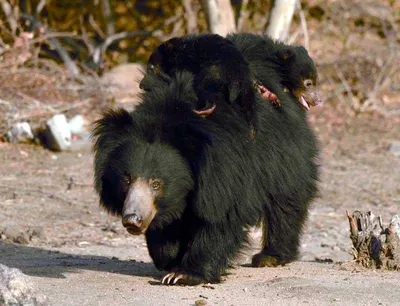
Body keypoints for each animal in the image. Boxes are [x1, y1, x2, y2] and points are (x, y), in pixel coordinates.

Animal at [93, 71, 318, 284]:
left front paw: (183, 275)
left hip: (283, 156)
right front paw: (171, 257)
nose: (132, 220)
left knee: (285, 203)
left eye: (156, 184)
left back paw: (270, 257)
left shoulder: (225, 168)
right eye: (126, 179)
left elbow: (221, 216)